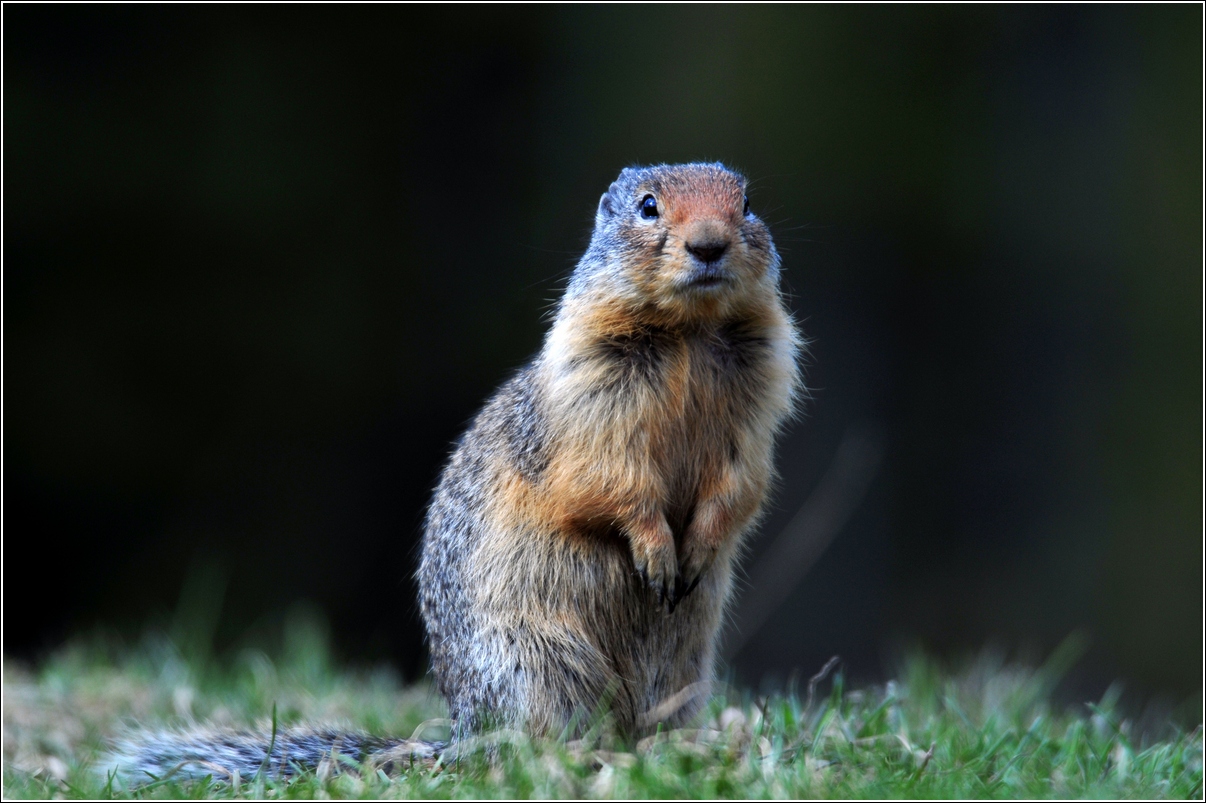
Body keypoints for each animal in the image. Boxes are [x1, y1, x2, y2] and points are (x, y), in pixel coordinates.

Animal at [101, 162, 800, 781]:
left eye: (746, 203)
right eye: (648, 206)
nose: (709, 244)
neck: (688, 334)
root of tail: (462, 736)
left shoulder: (755, 409)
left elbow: (740, 484)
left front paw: (699, 547)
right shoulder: (590, 397)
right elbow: (609, 479)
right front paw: (655, 551)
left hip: (683, 670)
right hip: (541, 665)